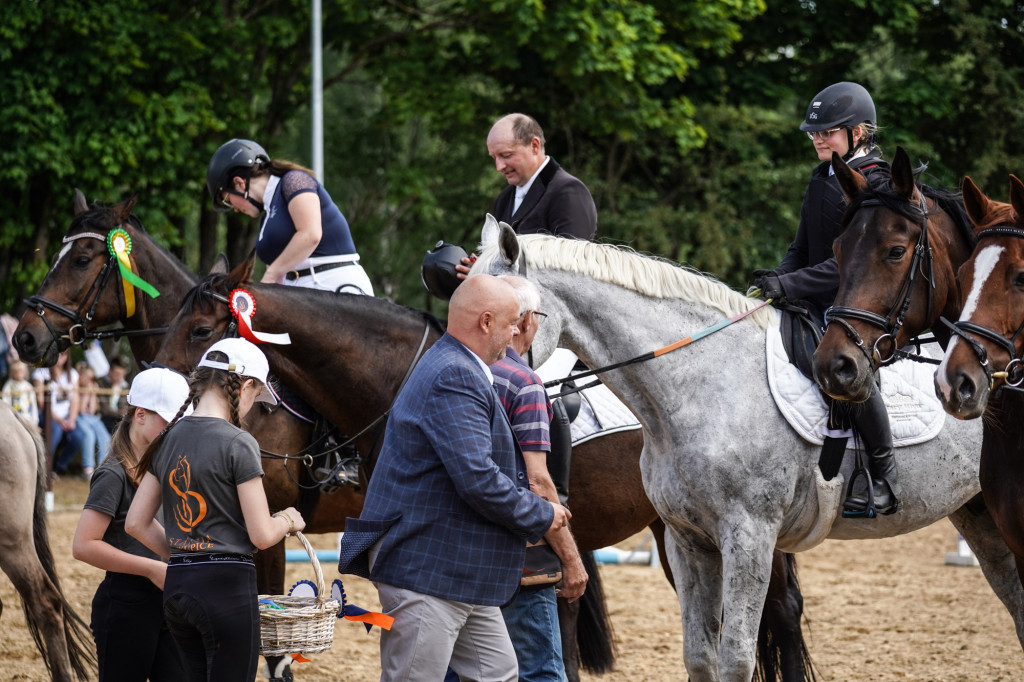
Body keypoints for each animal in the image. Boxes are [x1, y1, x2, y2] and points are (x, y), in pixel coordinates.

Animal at [468, 216, 1024, 679]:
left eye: (499, 315)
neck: (699, 383)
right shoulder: (686, 539)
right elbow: (700, 656)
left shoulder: (749, 536)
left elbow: (736, 657)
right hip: (977, 513)